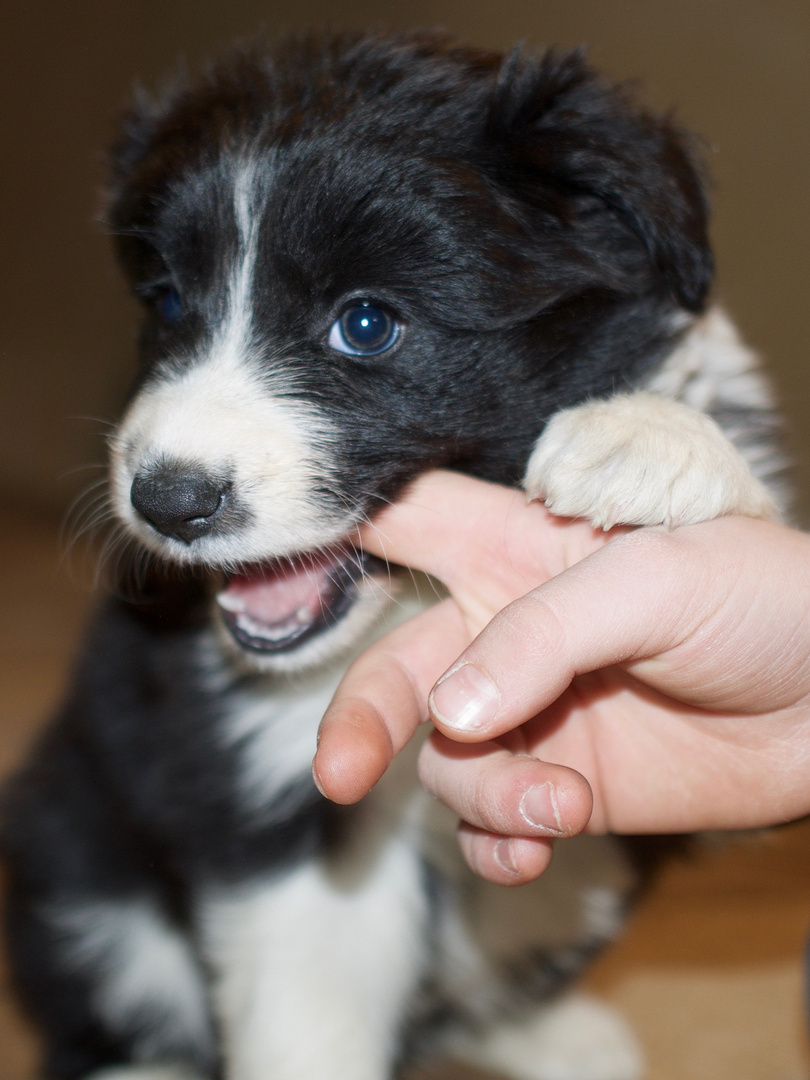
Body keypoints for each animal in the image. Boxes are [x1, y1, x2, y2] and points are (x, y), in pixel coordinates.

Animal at [0, 29, 786, 1080]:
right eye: (166, 301)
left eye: (366, 324)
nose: (167, 498)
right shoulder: (264, 788)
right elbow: (307, 1020)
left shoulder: (697, 808)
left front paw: (648, 438)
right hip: (72, 851)